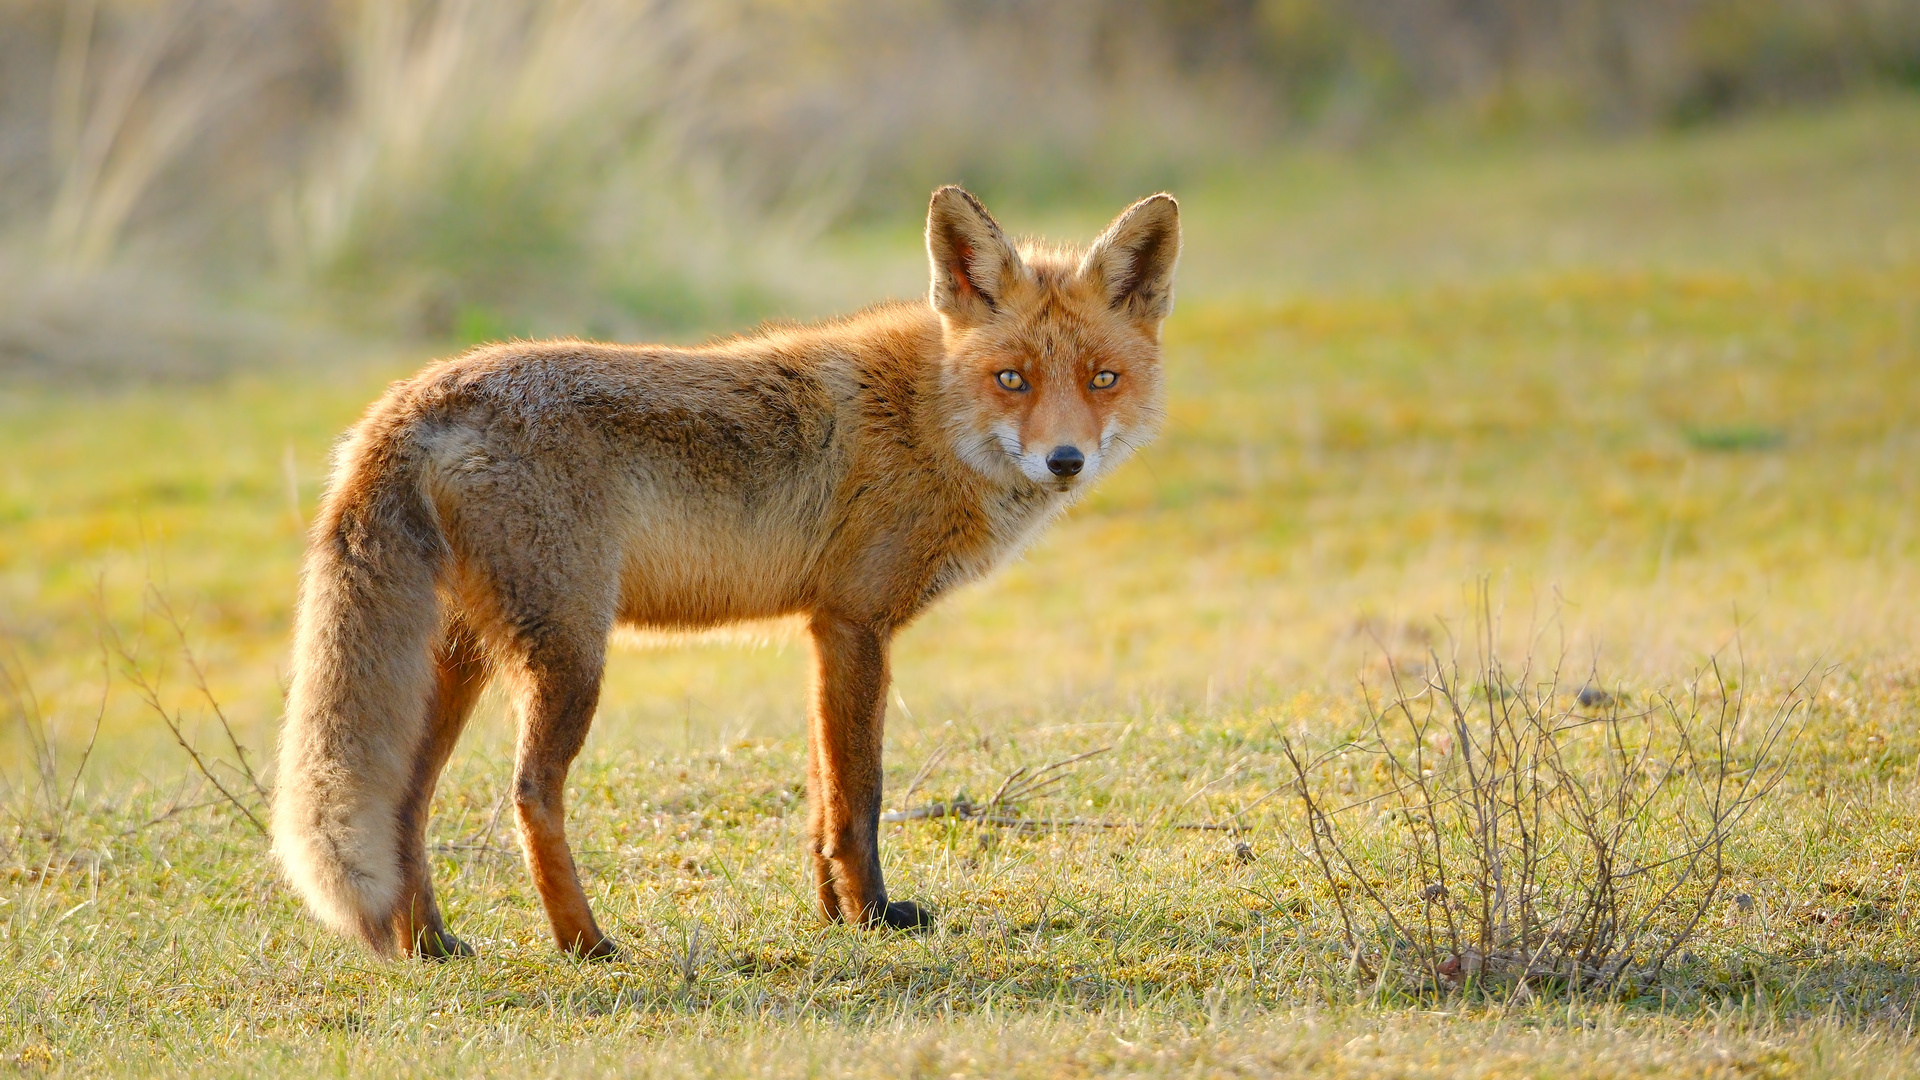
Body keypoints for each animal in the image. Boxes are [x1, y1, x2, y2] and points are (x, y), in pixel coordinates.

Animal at [266, 184, 1167, 949]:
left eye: (1103, 379)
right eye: (1011, 378)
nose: (1064, 460)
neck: (929, 415)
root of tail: (414, 395)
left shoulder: (826, 630)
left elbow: (822, 796)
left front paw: (833, 917)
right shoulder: (857, 621)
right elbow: (860, 797)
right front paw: (874, 918)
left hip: (461, 657)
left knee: (404, 803)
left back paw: (429, 944)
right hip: (570, 653)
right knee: (528, 793)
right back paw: (586, 943)